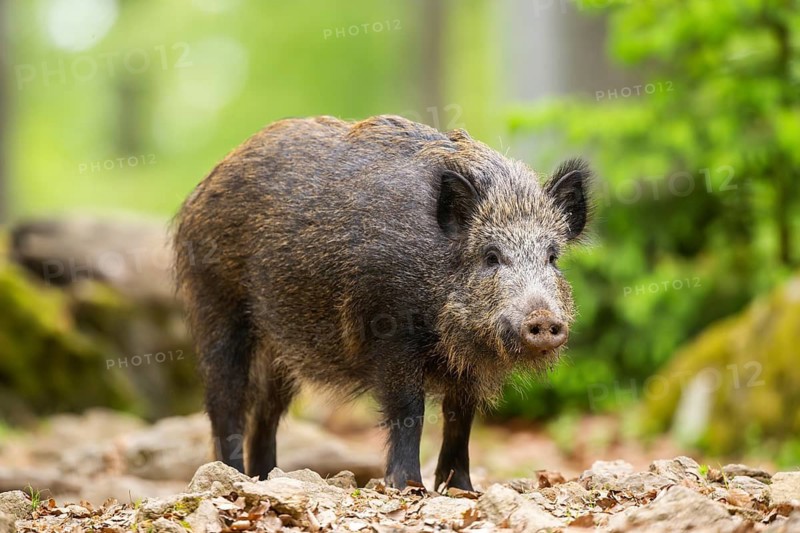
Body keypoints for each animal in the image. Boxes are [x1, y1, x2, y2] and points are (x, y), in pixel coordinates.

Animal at [173, 115, 591, 490]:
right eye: (491, 256)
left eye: (552, 257)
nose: (543, 320)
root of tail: (201, 189)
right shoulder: (390, 333)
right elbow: (410, 409)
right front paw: (407, 486)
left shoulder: (465, 365)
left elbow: (461, 418)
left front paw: (464, 490)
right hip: (216, 307)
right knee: (225, 401)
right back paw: (232, 475)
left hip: (280, 349)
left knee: (265, 412)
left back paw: (265, 478)